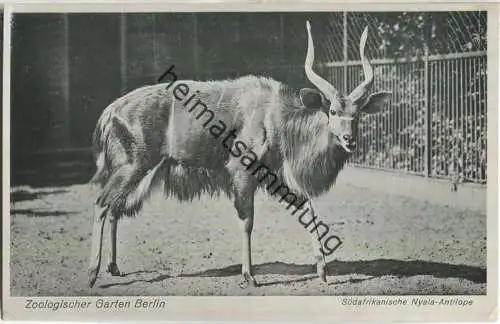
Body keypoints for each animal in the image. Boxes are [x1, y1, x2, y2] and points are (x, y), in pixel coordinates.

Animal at [90, 20, 392, 288]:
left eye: (357, 113)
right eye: (332, 111)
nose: (349, 139)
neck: (275, 117)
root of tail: (109, 112)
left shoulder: (277, 176)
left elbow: (308, 209)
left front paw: (323, 272)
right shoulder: (242, 173)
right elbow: (247, 221)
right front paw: (248, 276)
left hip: (136, 171)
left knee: (115, 209)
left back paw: (113, 267)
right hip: (133, 167)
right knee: (102, 203)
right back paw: (93, 274)